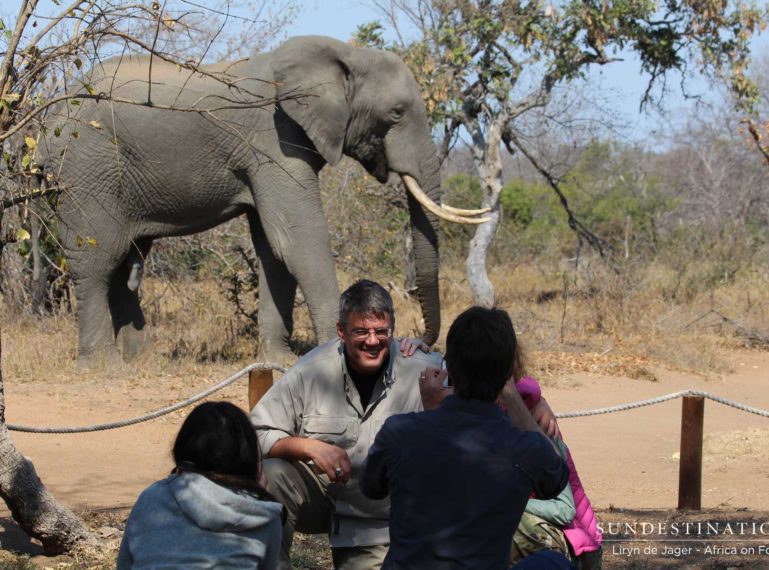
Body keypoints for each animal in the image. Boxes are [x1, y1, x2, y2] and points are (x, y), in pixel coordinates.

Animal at [43, 35, 486, 364]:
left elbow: (273, 249)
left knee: (126, 263)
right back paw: (104, 366)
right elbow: (298, 237)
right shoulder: (274, 139)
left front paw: (278, 361)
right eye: (396, 112)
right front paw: (332, 349)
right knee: (97, 261)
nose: (418, 342)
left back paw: (143, 361)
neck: (345, 54)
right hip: (85, 168)